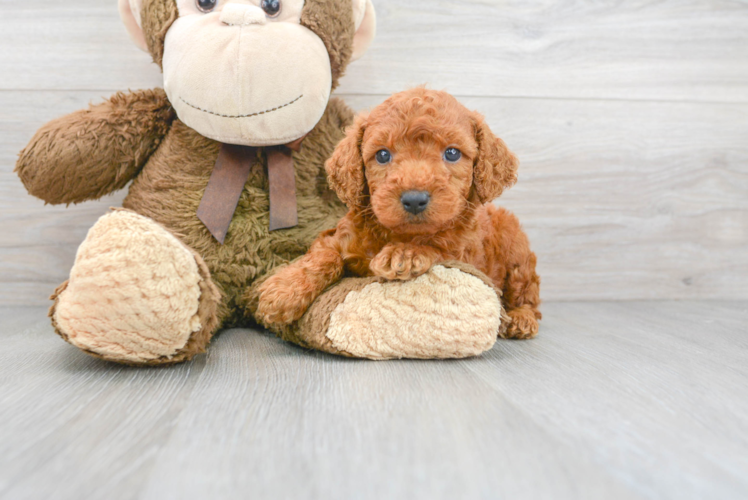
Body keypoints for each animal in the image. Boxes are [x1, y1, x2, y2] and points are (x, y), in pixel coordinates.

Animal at [256, 89, 536, 340]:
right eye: (382, 155)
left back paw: (522, 319)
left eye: (452, 153)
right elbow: (325, 255)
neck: (395, 233)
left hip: (517, 254)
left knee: (527, 292)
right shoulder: (337, 237)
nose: (414, 199)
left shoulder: (462, 253)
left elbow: (437, 245)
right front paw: (284, 292)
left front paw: (404, 254)